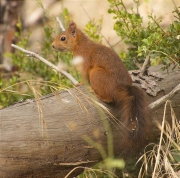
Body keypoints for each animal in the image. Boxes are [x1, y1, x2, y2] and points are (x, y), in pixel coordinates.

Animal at [51, 20, 149, 154]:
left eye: (63, 38)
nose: (52, 46)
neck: (80, 44)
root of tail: (120, 88)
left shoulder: (84, 62)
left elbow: (84, 77)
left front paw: (79, 84)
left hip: (96, 74)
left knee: (108, 98)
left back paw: (94, 92)